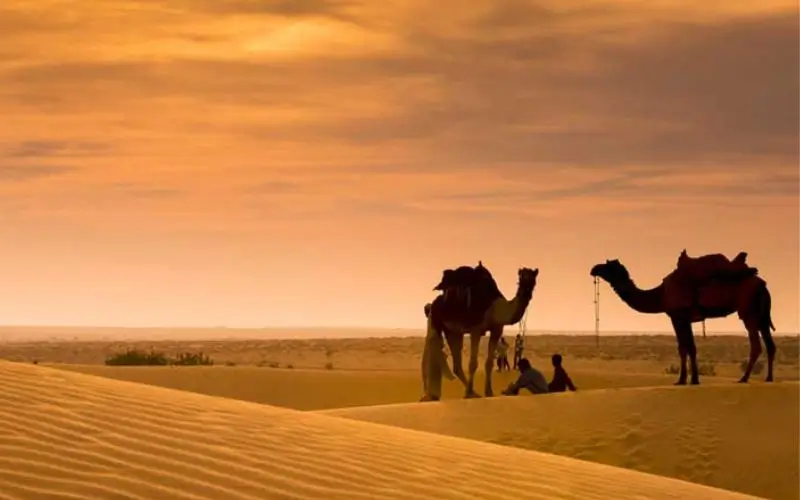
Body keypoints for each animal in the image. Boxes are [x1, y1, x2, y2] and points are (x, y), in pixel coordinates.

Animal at [421, 263, 539, 401]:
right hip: (436, 319)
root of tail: (435, 302)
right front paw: (469, 394)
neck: (496, 308)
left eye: (533, 279)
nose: (527, 292)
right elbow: (473, 364)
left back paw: (472, 392)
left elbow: (489, 363)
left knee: (456, 365)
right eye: (521, 278)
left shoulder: (497, 329)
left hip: (453, 331)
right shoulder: (476, 329)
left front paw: (489, 392)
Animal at [589, 252, 776, 385]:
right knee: (770, 344)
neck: (661, 295)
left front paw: (686, 380)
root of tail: (763, 285)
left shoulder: (677, 316)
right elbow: (688, 347)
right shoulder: (685, 319)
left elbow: (685, 348)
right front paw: (689, 379)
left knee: (756, 345)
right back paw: (769, 378)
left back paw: (744, 378)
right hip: (761, 314)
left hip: (748, 311)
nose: (593, 268)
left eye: (608, 266)